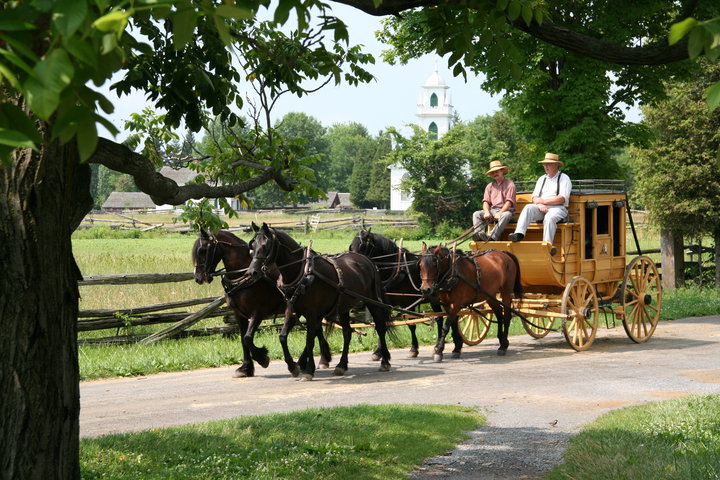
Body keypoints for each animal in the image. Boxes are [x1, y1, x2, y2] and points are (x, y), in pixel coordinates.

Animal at [194, 230, 334, 378]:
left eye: (202, 250)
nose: (198, 277)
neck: (245, 277)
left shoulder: (258, 313)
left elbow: (248, 338)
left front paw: (262, 358)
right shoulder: (239, 314)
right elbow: (243, 339)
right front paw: (245, 368)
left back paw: (316, 360)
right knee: (317, 329)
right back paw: (319, 359)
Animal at [249, 221, 394, 378]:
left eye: (266, 245)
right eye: (252, 246)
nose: (252, 272)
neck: (303, 273)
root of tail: (368, 261)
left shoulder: (312, 313)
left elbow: (309, 340)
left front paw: (308, 370)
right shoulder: (293, 310)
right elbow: (283, 336)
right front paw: (293, 366)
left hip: (372, 301)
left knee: (380, 327)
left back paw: (384, 361)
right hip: (343, 306)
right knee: (347, 332)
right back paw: (341, 365)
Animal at [348, 230, 462, 360]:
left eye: (363, 246)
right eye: (351, 246)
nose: (352, 262)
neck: (397, 270)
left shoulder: (408, 302)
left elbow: (411, 325)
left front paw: (413, 349)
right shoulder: (386, 304)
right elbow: (384, 323)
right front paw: (378, 351)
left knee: (448, 317)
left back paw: (451, 346)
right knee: (443, 317)